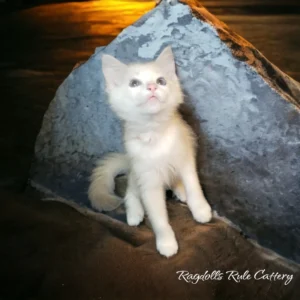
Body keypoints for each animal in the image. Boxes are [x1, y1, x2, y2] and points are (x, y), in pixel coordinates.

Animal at [88, 47, 212, 258]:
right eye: (134, 83)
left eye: (161, 80)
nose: (153, 87)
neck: (154, 132)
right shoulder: (148, 180)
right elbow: (159, 218)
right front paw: (166, 243)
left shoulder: (186, 160)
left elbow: (194, 187)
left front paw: (201, 210)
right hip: (135, 173)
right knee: (130, 191)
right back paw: (134, 214)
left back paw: (180, 191)